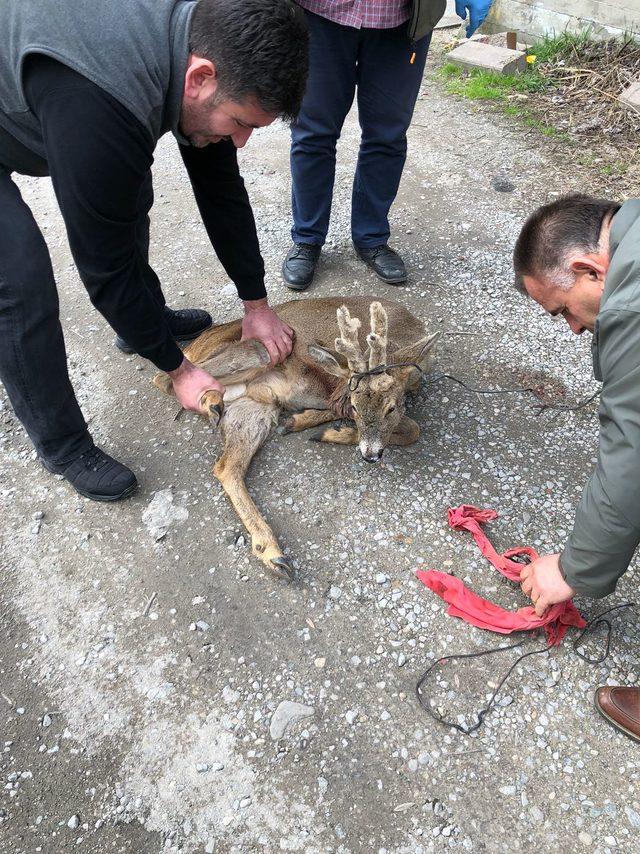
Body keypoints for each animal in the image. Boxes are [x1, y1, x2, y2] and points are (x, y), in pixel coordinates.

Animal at [152, 298, 438, 584]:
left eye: (391, 407)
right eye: (356, 406)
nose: (370, 455)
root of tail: (194, 347)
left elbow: (410, 428)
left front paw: (311, 426)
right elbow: (410, 427)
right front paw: (329, 429)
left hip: (254, 409)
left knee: (227, 467)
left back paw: (273, 554)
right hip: (258, 350)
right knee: (165, 378)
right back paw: (211, 400)